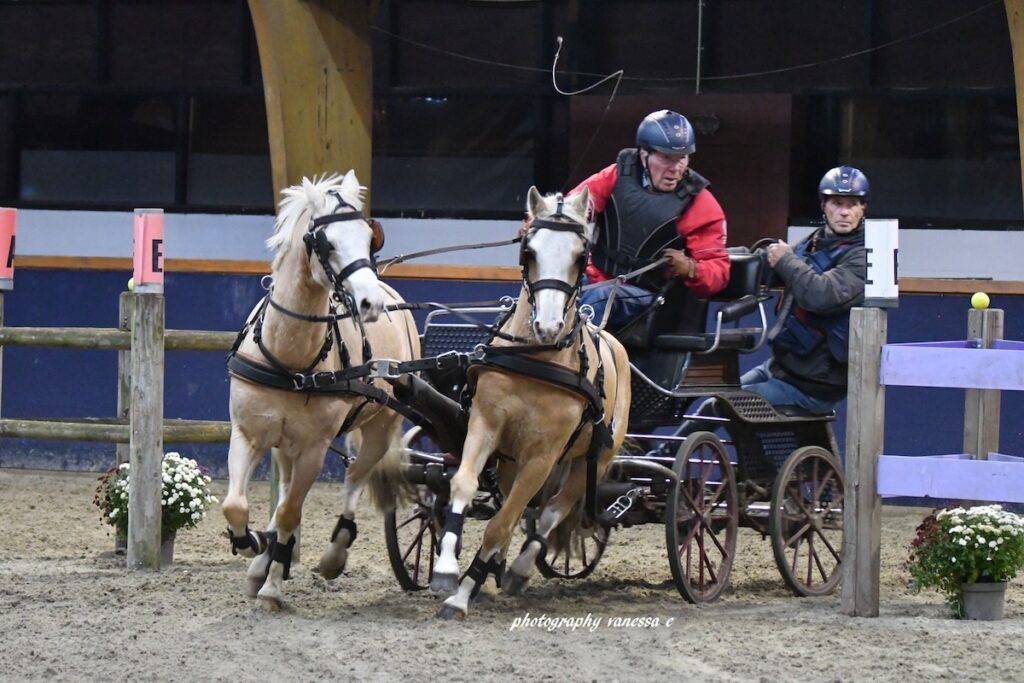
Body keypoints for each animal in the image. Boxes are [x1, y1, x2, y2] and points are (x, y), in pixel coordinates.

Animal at [220, 171, 419, 609]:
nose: (370, 303)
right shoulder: (248, 434)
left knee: (354, 479)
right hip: (284, 446)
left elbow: (291, 512)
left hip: (379, 429)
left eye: (370, 237)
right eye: (325, 242)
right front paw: (252, 545)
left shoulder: (314, 448)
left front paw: (272, 587)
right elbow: (237, 505)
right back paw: (264, 560)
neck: (289, 359)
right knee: (284, 496)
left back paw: (333, 554)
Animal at [430, 186, 632, 619]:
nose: (549, 326)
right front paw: (446, 569)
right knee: (517, 504)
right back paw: (494, 570)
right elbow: (464, 484)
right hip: (510, 457)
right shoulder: (484, 425)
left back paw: (517, 570)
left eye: (581, 256)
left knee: (554, 509)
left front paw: (460, 595)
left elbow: (503, 523)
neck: (536, 358)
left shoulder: (543, 456)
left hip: (591, 460)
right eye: (529, 251)